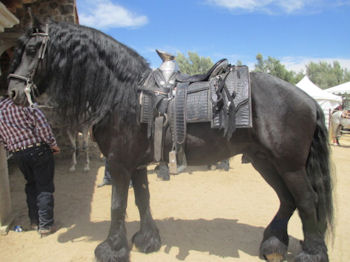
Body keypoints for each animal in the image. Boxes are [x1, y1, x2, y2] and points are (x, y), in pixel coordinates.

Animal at [7, 19, 334, 260]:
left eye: (33, 49)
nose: (12, 91)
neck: (126, 95)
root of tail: (307, 100)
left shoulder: (119, 164)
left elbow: (117, 205)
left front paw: (112, 249)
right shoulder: (137, 165)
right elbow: (142, 200)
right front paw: (147, 240)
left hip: (289, 166)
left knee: (306, 200)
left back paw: (311, 253)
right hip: (264, 161)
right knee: (287, 199)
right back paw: (273, 245)